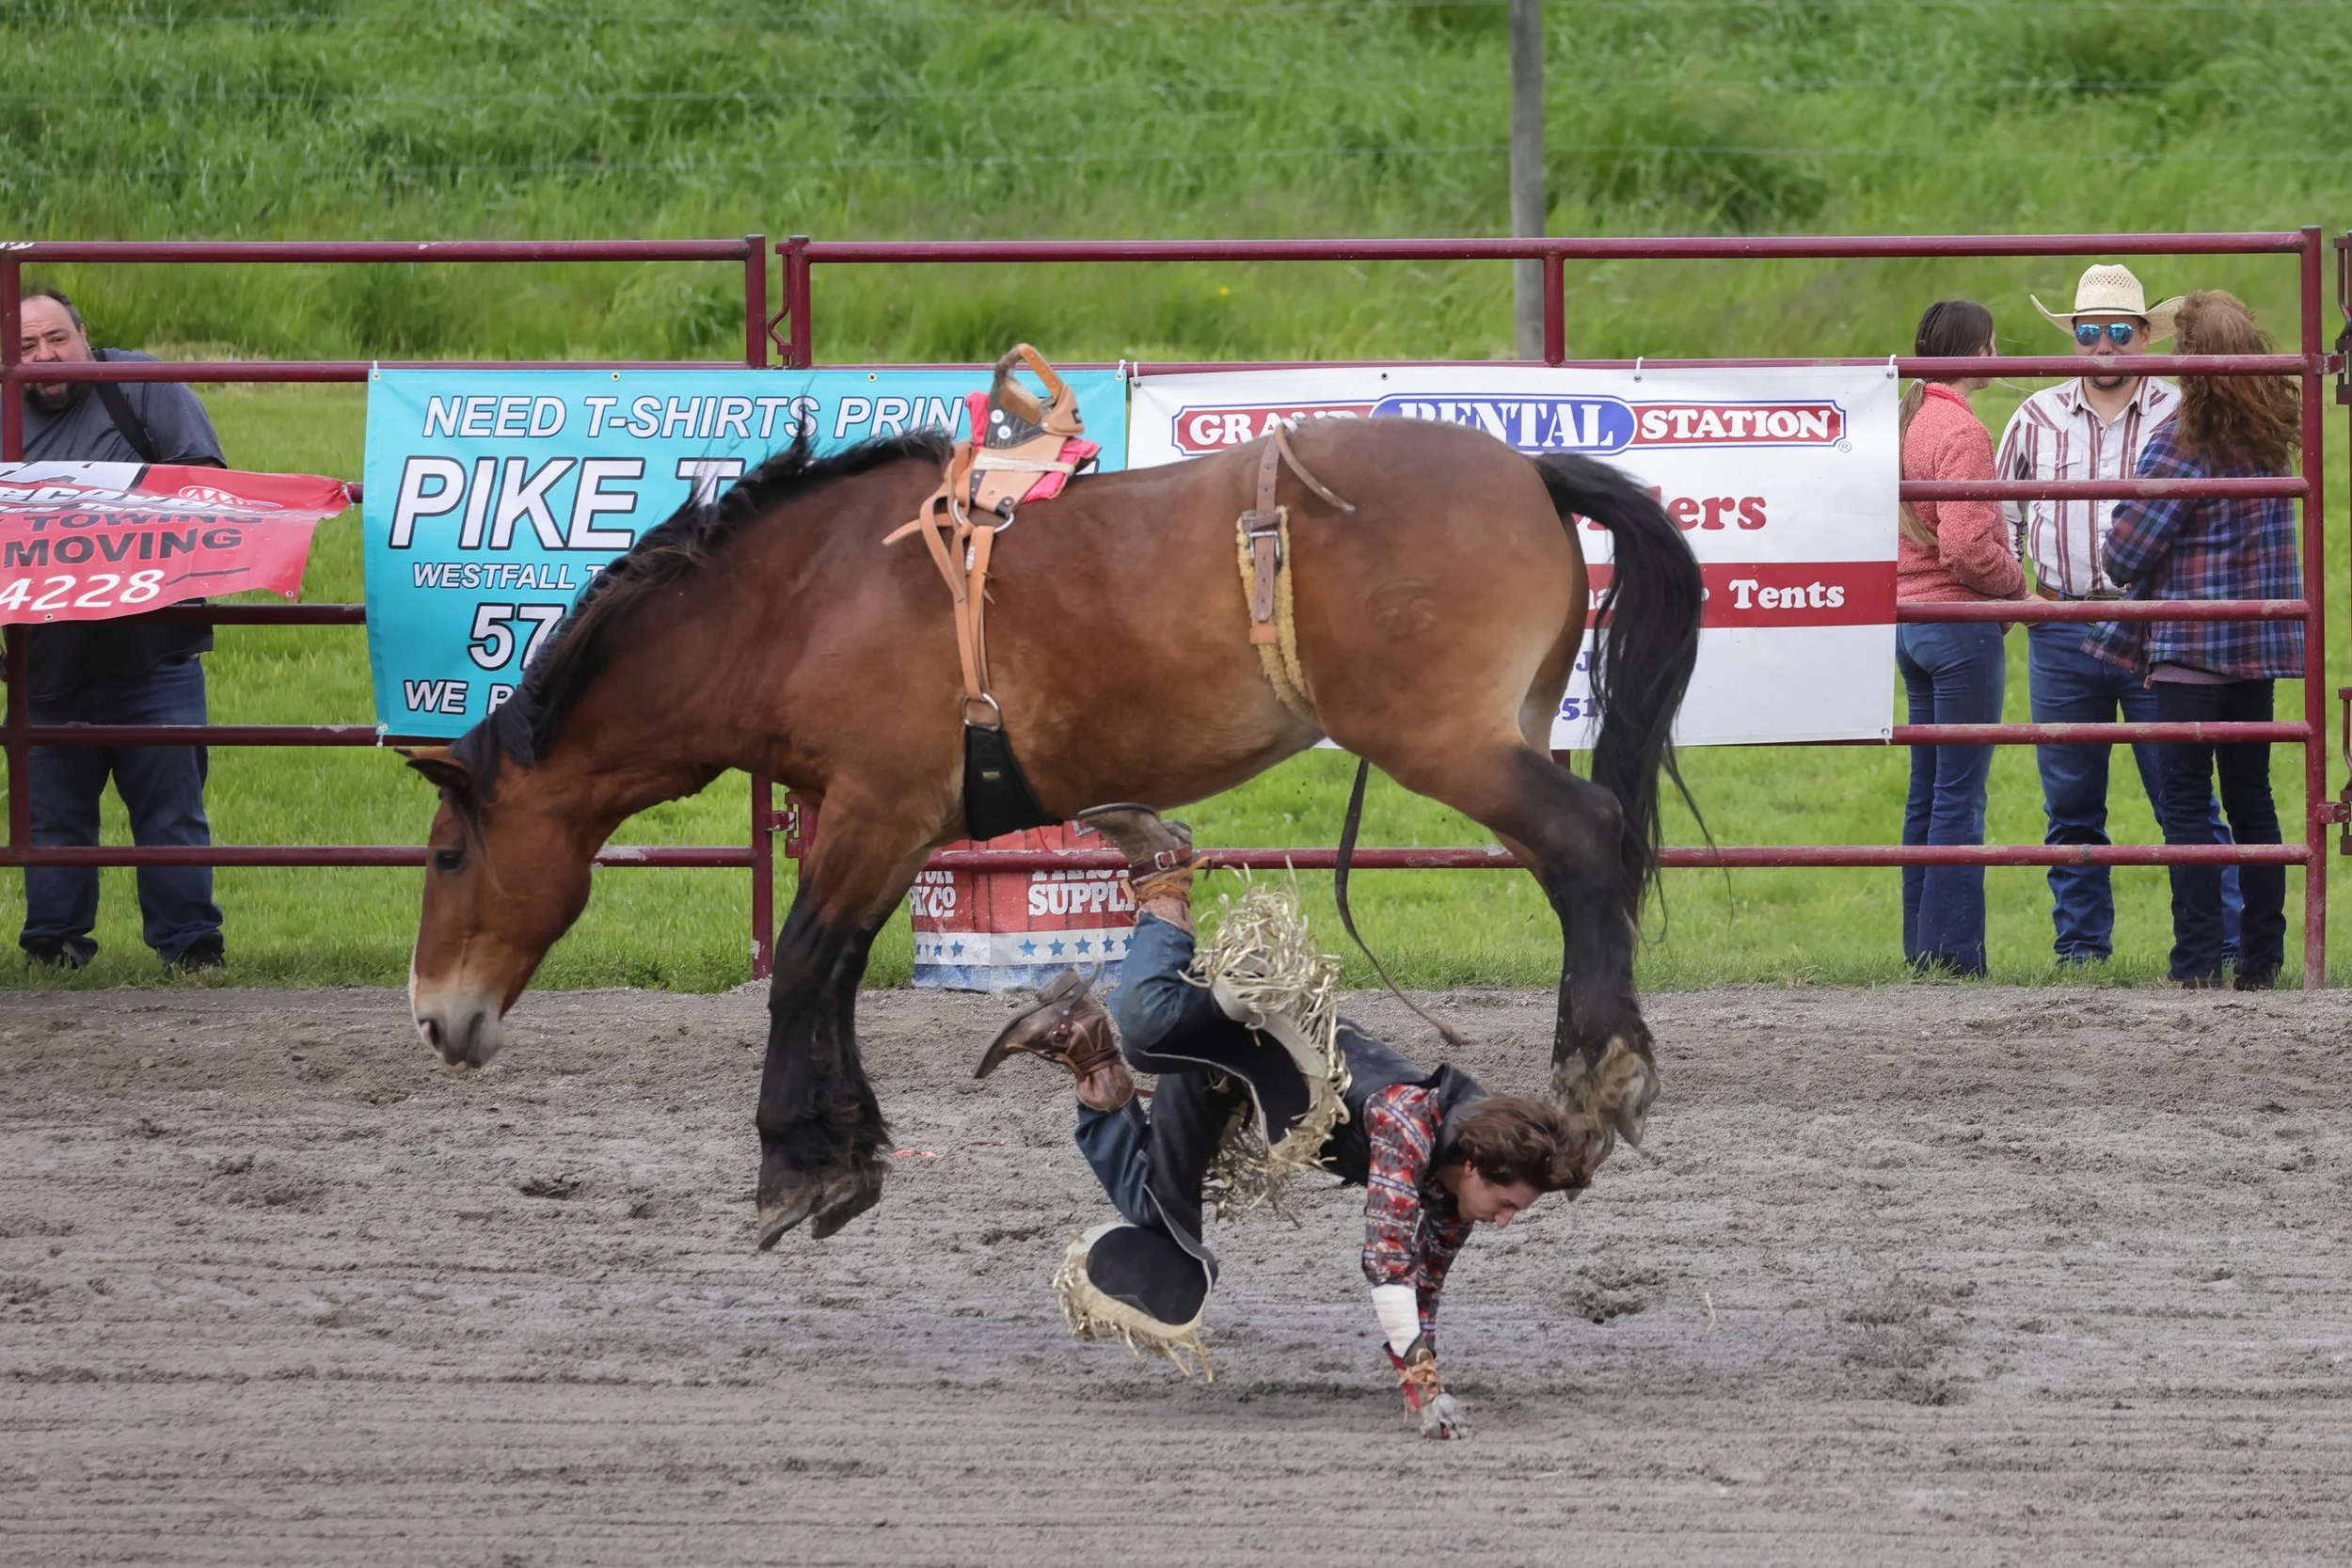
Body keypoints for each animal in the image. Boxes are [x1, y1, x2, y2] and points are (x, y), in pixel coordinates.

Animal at [402, 414, 1704, 1247]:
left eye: (448, 851)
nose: (434, 1018)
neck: (800, 600)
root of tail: (1524, 467)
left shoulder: (877, 807)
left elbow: (807, 966)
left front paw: (793, 1165)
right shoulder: (890, 822)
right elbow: (834, 972)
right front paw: (846, 1147)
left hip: (1448, 740)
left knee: (1584, 838)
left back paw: (1599, 1076)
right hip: (1503, 728)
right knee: (1584, 853)